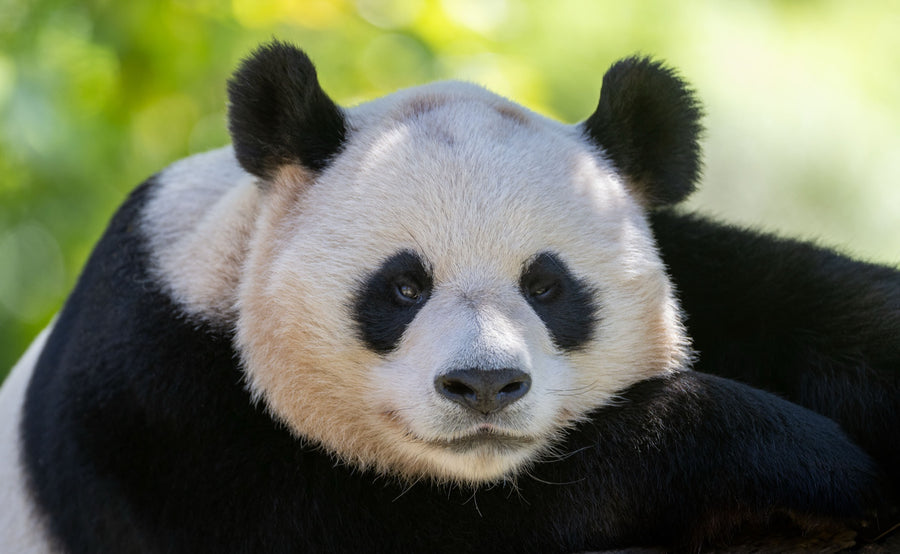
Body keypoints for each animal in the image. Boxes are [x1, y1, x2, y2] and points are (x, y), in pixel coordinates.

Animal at [0, 41, 898, 553]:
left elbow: (810, 302)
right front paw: (795, 460)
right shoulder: (157, 411)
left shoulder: (705, 266)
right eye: (402, 287)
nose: (485, 386)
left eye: (547, 286)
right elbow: (381, 529)